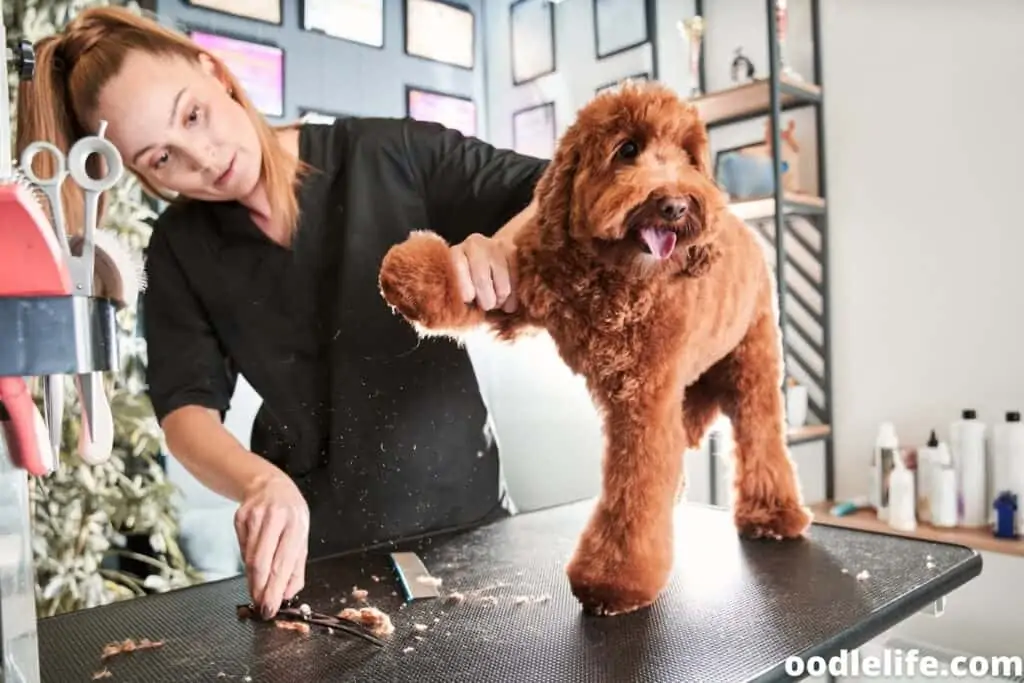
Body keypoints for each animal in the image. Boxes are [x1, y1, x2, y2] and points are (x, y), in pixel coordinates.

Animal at [380, 82, 811, 618]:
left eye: (688, 157)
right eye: (627, 149)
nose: (675, 205)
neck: (614, 278)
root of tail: (748, 231)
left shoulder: (644, 398)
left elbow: (636, 488)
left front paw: (615, 580)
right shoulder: (530, 278)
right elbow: (476, 275)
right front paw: (413, 273)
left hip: (752, 361)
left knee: (760, 434)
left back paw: (773, 514)